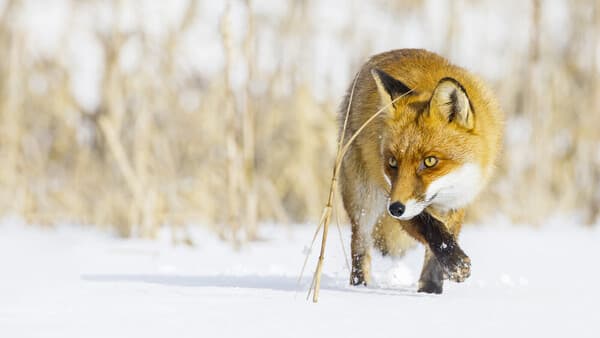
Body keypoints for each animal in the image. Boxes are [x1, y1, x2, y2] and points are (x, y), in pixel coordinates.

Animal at [340, 48, 504, 294]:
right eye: (392, 162)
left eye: (430, 161)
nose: (395, 209)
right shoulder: (393, 193)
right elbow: (431, 227)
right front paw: (455, 262)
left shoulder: (457, 200)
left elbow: (438, 248)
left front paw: (430, 292)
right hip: (364, 200)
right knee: (360, 247)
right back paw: (361, 288)